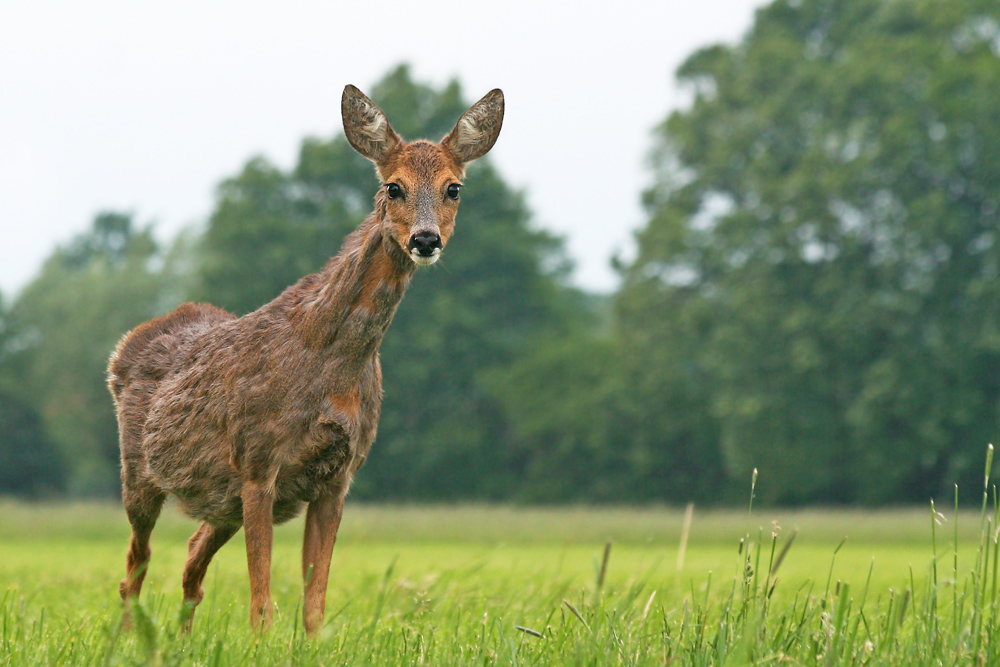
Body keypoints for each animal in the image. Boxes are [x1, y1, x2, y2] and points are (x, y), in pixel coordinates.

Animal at [105, 86, 504, 636]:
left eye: (454, 188)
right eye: (393, 187)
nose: (425, 240)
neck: (331, 363)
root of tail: (131, 340)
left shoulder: (338, 475)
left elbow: (315, 601)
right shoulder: (258, 463)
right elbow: (261, 600)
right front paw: (260, 642)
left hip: (220, 502)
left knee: (189, 563)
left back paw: (180, 641)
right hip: (139, 473)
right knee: (134, 570)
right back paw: (128, 640)